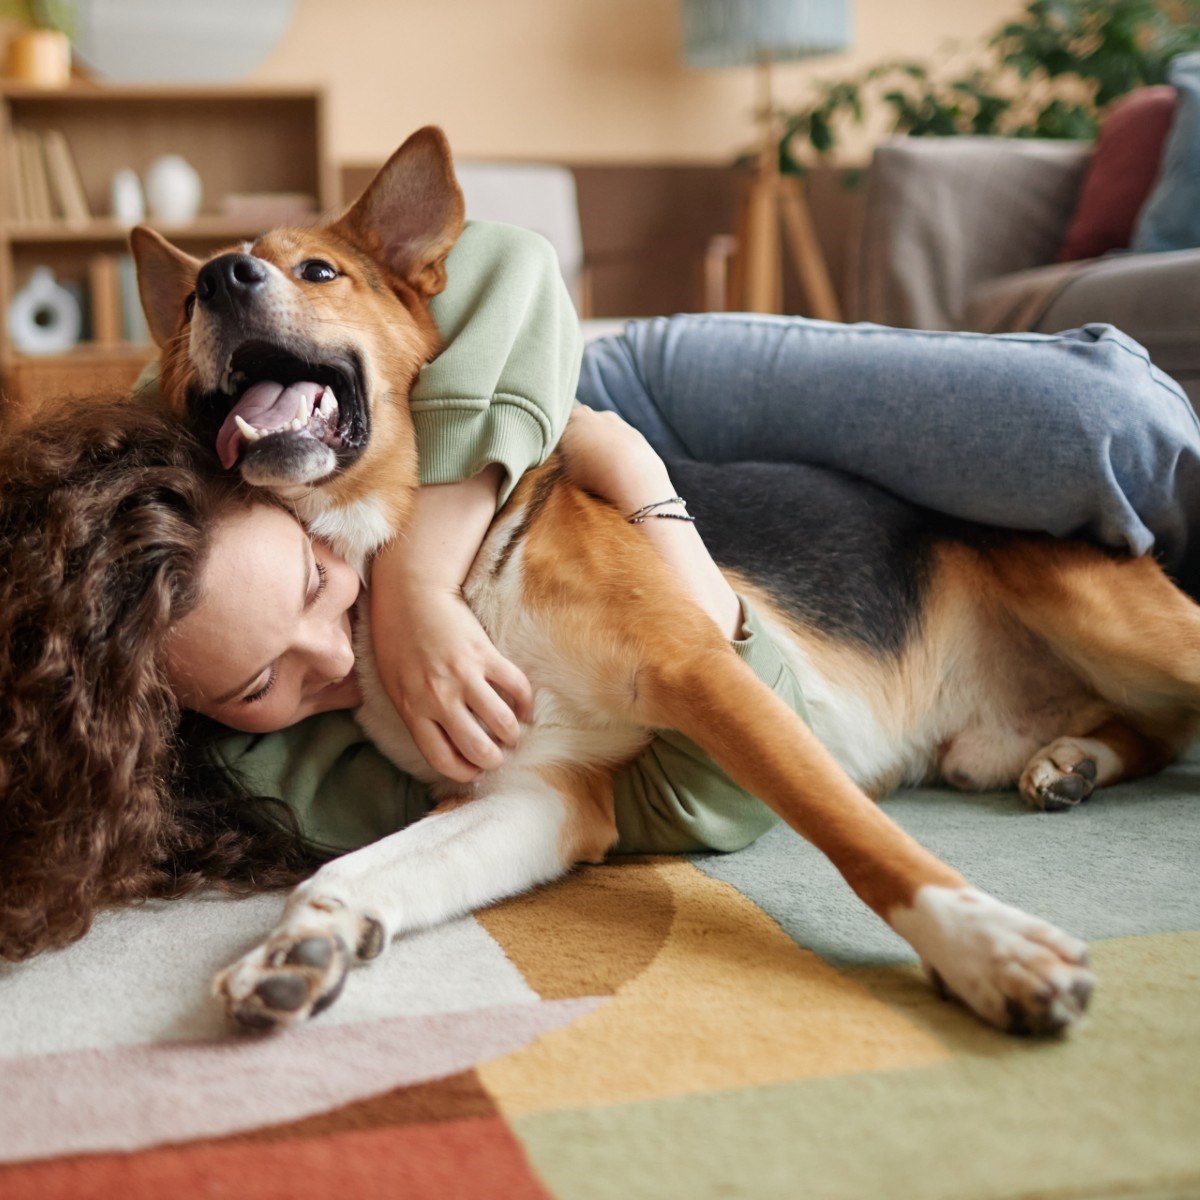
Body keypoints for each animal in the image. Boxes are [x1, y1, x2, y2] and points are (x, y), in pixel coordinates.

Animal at [131, 126, 1200, 1036]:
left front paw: (984, 946)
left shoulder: (706, 672)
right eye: (185, 308)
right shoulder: (536, 792)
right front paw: (302, 943)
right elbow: (359, 868)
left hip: (1106, 619)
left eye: (319, 271)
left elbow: (858, 837)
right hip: (996, 738)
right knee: (1152, 735)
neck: (431, 567)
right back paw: (1074, 761)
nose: (221, 278)